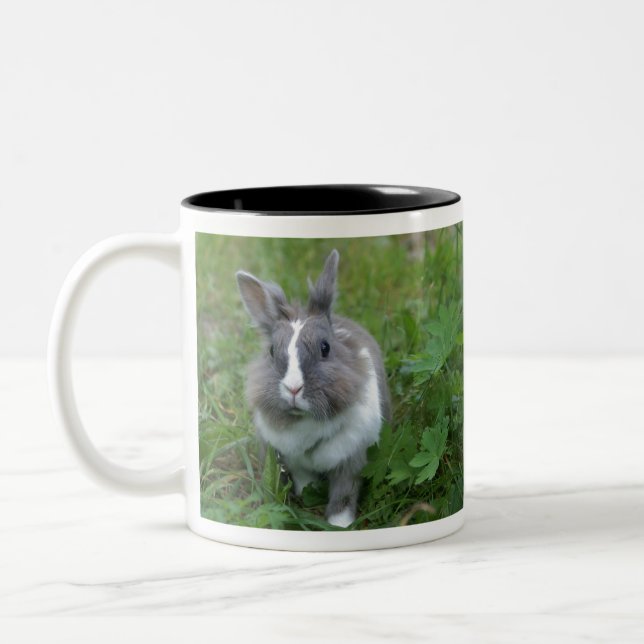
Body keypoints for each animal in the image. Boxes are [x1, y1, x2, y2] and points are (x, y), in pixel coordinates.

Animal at [236, 249, 391, 528]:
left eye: (325, 348)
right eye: (272, 351)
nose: (293, 388)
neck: (307, 423)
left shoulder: (352, 461)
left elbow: (344, 495)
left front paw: (339, 526)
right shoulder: (295, 463)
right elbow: (305, 481)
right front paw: (309, 494)